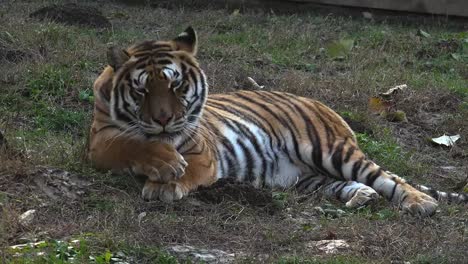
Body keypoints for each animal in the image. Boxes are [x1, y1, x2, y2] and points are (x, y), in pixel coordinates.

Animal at [87, 26, 464, 218]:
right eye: (142, 89)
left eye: (176, 85)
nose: (164, 119)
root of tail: (321, 104)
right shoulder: (98, 141)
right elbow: (130, 144)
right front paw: (162, 164)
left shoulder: (202, 154)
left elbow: (188, 167)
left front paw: (166, 182)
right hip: (307, 179)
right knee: (347, 184)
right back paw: (362, 197)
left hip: (331, 151)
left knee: (388, 178)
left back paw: (421, 203)